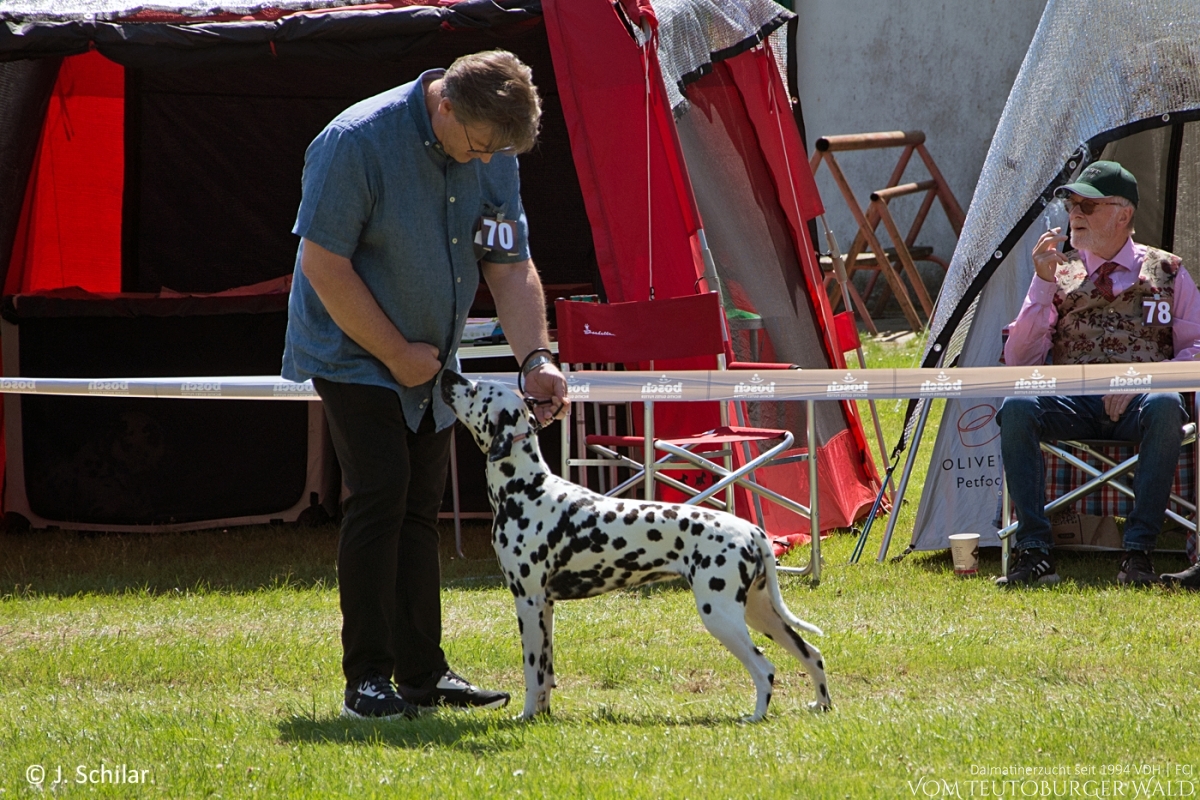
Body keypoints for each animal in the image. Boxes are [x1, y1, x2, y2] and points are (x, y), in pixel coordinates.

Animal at [436, 371, 830, 724]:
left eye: (477, 389)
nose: (449, 374)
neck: (526, 488)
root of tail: (752, 530)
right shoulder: (545, 607)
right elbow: (546, 673)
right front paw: (544, 714)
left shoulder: (528, 602)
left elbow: (533, 673)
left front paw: (527, 716)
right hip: (760, 613)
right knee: (813, 654)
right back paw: (820, 705)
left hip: (721, 615)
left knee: (765, 668)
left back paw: (755, 716)